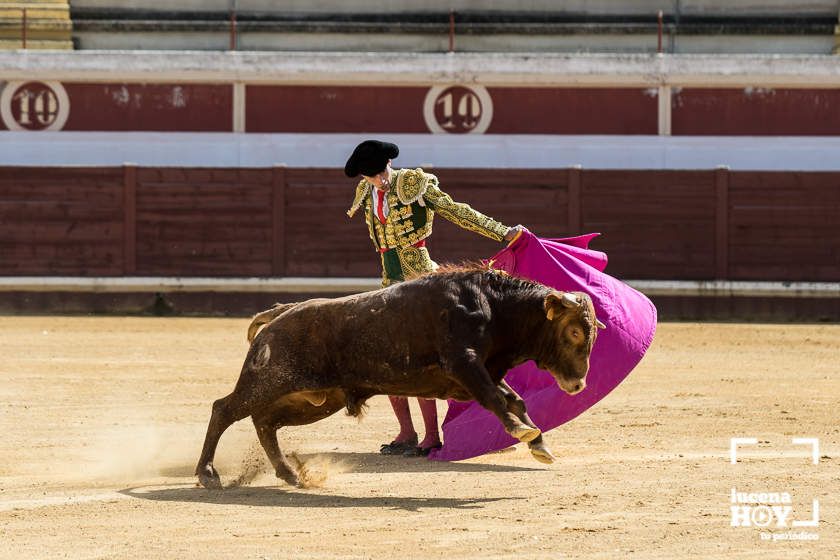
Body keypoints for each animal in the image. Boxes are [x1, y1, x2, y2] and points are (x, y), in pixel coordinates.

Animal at [197, 264, 604, 488]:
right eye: (573, 332)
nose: (578, 384)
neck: (493, 306)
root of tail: (281, 312)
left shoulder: (480, 373)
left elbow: (513, 399)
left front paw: (540, 444)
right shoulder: (464, 365)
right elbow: (496, 399)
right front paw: (523, 432)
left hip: (314, 400)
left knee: (265, 422)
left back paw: (290, 474)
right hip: (269, 379)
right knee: (224, 409)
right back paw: (207, 474)